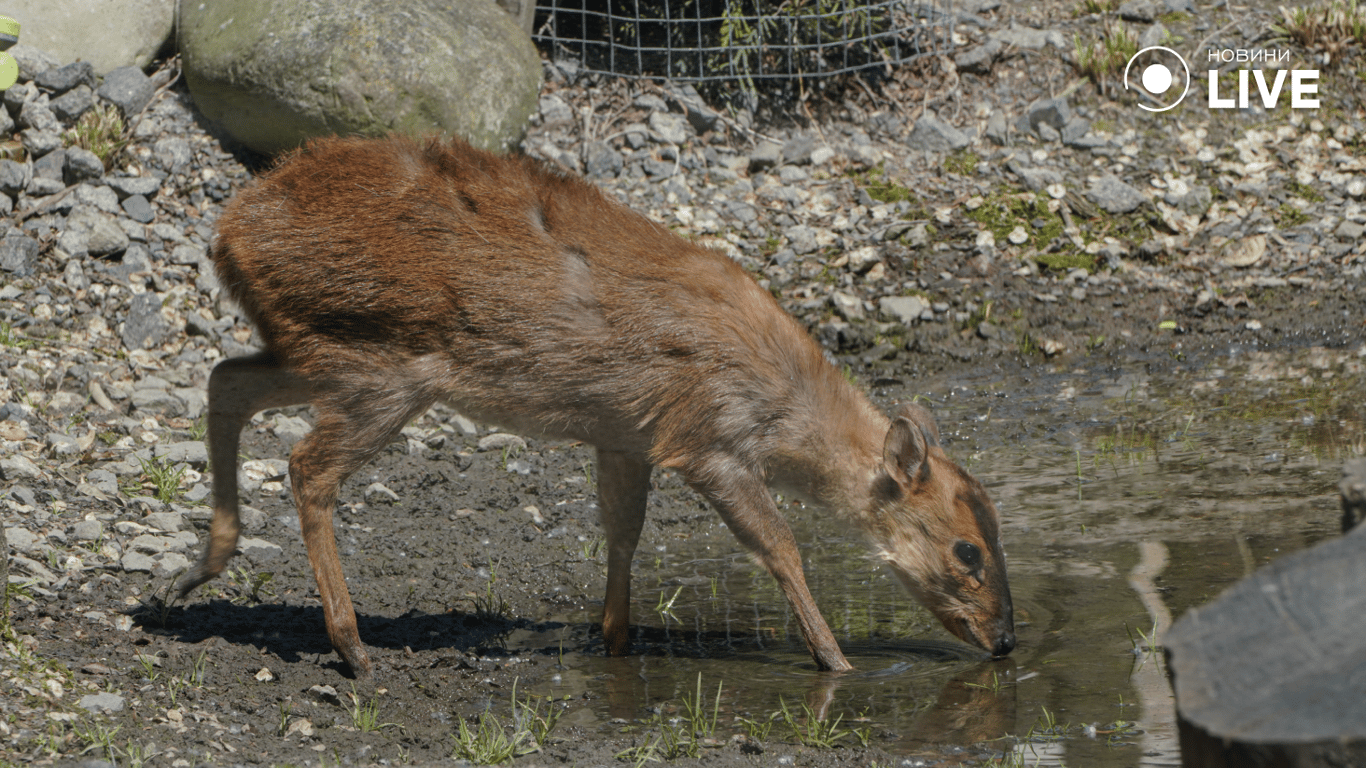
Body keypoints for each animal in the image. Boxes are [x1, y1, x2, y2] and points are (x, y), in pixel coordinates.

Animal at [178, 134, 1016, 672]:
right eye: (967, 551)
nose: (1007, 640)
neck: (783, 406)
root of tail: (227, 234)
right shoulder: (706, 436)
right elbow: (780, 544)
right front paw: (835, 660)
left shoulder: (625, 433)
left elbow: (622, 532)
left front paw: (613, 641)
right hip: (379, 364)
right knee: (306, 465)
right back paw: (352, 646)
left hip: (315, 350)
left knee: (226, 378)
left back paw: (201, 569)